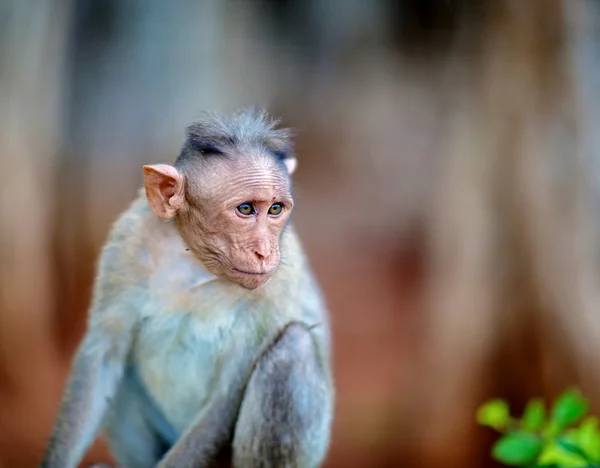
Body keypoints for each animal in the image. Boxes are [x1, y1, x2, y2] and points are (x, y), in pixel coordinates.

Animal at [39, 109, 336, 468]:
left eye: (275, 209)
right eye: (246, 209)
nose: (265, 252)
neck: (196, 261)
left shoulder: (277, 283)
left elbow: (227, 396)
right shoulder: (128, 241)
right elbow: (103, 354)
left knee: (294, 348)